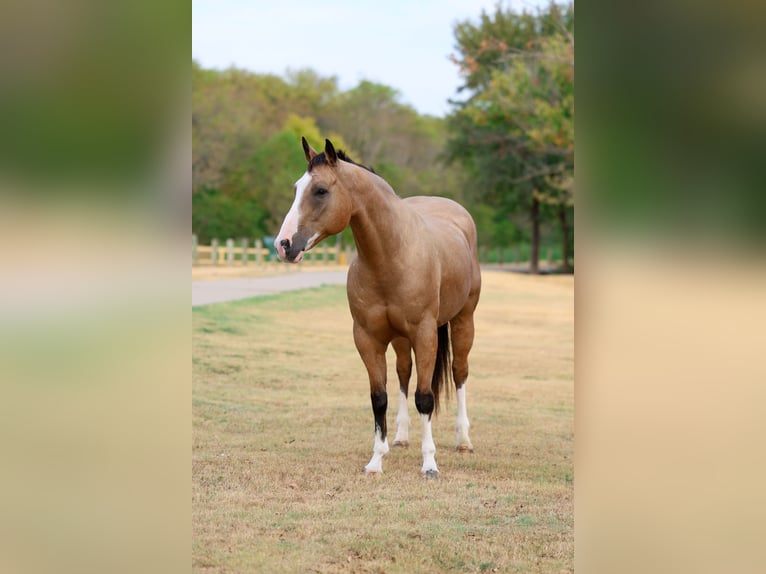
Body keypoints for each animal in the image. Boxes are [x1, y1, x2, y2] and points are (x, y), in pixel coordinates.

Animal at [274, 137, 481, 477]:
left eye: (320, 190)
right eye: (295, 188)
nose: (284, 245)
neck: (391, 256)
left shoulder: (425, 335)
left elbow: (425, 398)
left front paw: (429, 464)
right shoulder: (368, 338)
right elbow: (379, 397)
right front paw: (376, 460)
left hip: (464, 320)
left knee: (459, 372)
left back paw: (463, 440)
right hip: (399, 339)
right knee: (403, 374)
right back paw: (401, 438)